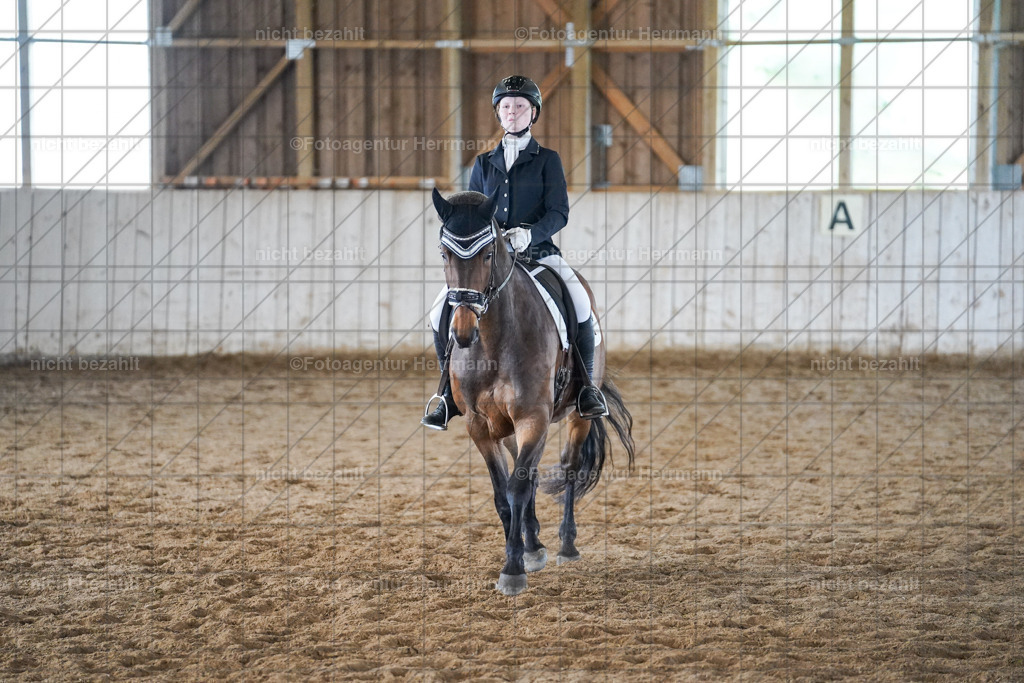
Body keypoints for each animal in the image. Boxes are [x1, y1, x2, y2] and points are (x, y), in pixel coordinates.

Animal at [429, 187, 635, 596]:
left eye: (488, 253)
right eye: (444, 253)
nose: (462, 332)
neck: (493, 342)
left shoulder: (533, 417)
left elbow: (518, 490)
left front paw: (513, 569)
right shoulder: (480, 425)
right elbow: (503, 494)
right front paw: (522, 552)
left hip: (574, 416)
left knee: (569, 468)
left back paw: (565, 545)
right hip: (506, 427)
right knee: (530, 473)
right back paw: (534, 542)